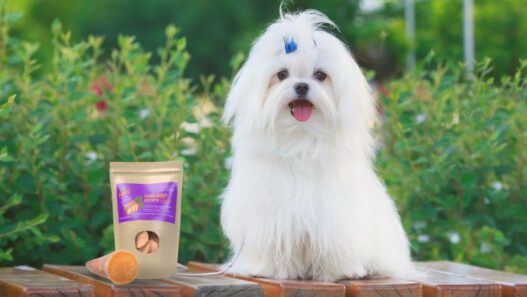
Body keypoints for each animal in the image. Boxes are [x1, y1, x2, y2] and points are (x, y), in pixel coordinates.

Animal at [219, 9, 416, 280]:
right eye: (282, 75)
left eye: (320, 75)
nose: (301, 85)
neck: (301, 138)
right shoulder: (270, 215)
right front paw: (269, 268)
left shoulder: (335, 216)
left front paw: (341, 271)